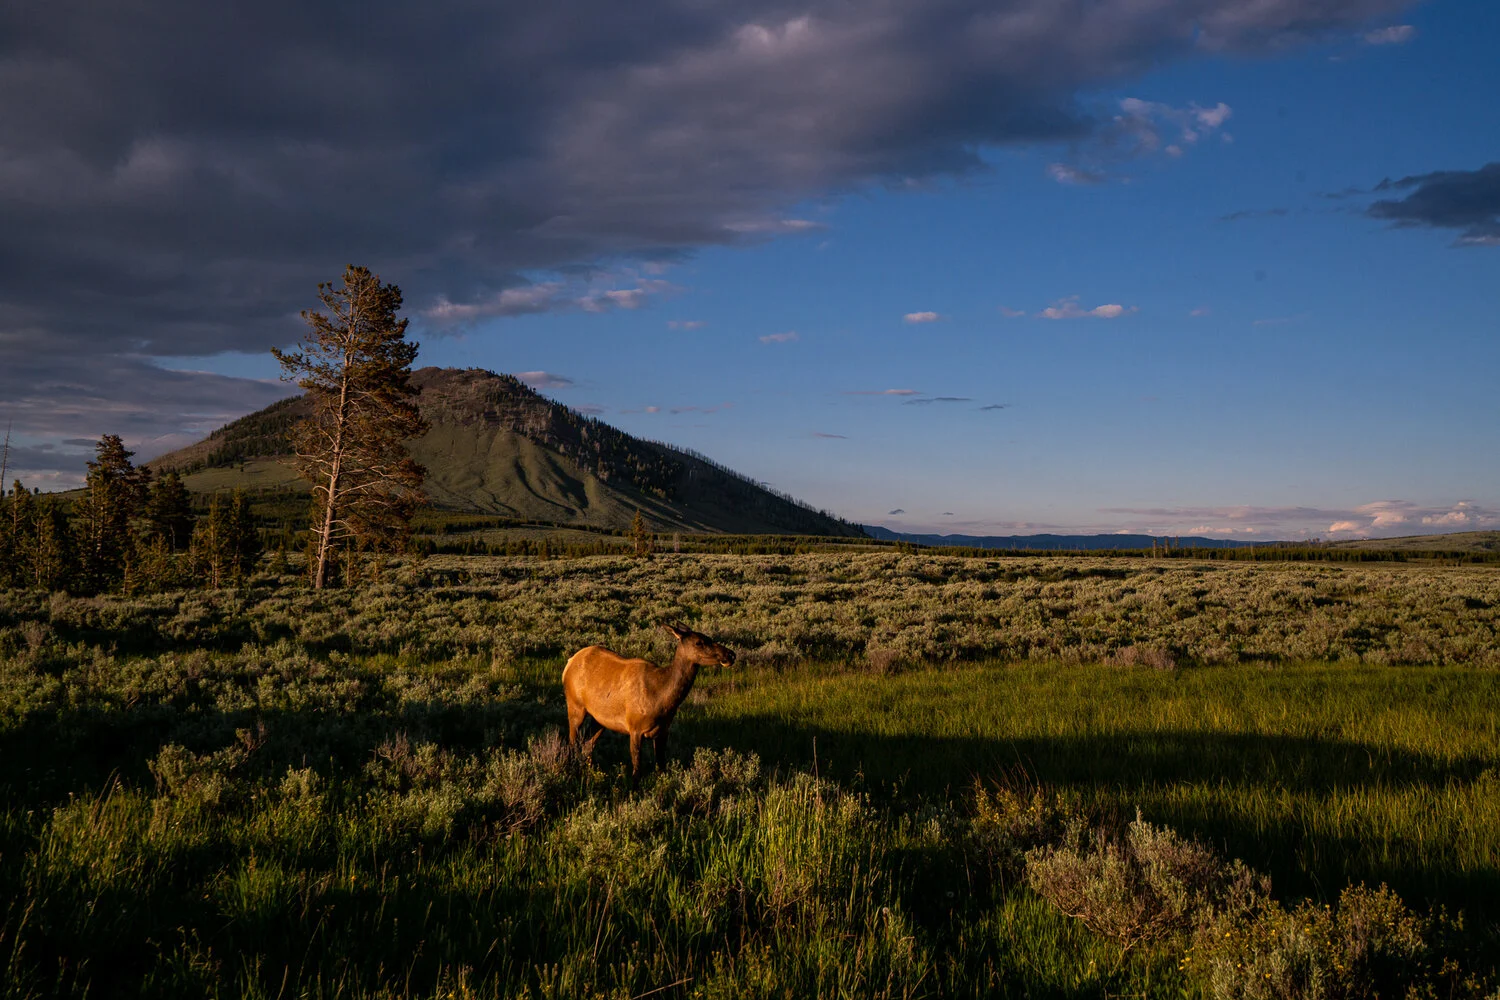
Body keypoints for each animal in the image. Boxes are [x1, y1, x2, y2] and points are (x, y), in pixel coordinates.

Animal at [562, 622, 736, 781]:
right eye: (699, 642)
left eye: (709, 638)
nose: (730, 654)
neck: (661, 698)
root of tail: (569, 662)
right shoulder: (634, 728)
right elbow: (637, 771)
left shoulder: (663, 731)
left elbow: (661, 767)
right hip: (575, 706)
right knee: (572, 744)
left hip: (600, 719)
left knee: (587, 745)